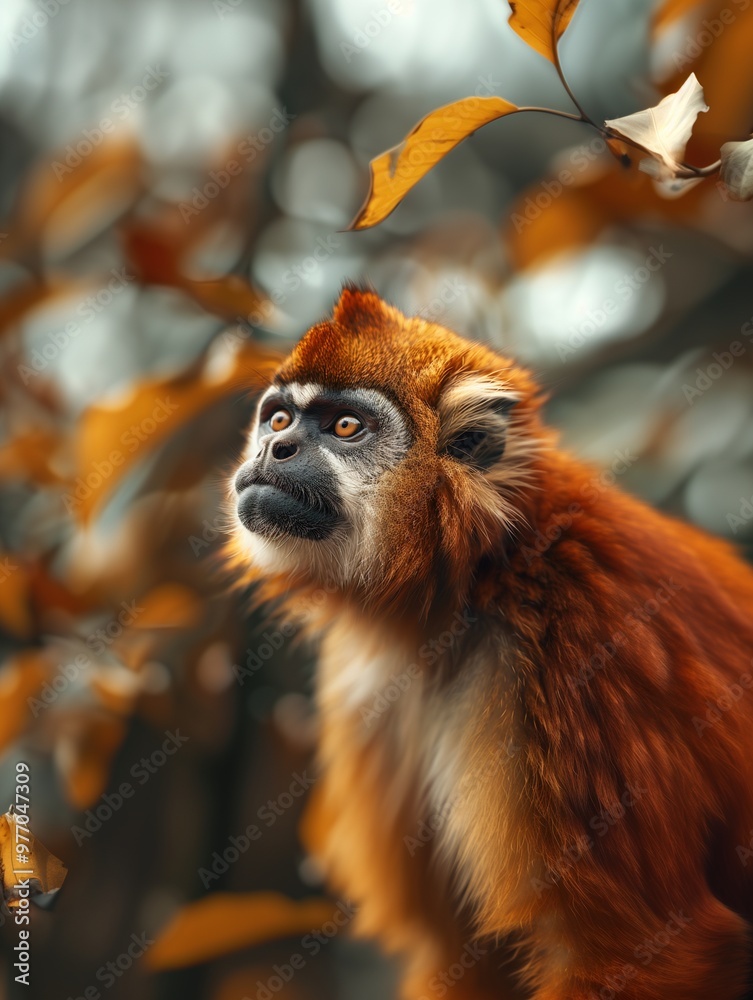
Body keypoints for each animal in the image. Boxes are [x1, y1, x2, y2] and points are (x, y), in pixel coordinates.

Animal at [229, 286, 753, 1000]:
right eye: (279, 419)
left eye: (345, 429)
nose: (274, 449)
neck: (482, 581)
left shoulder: (571, 656)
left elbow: (640, 949)